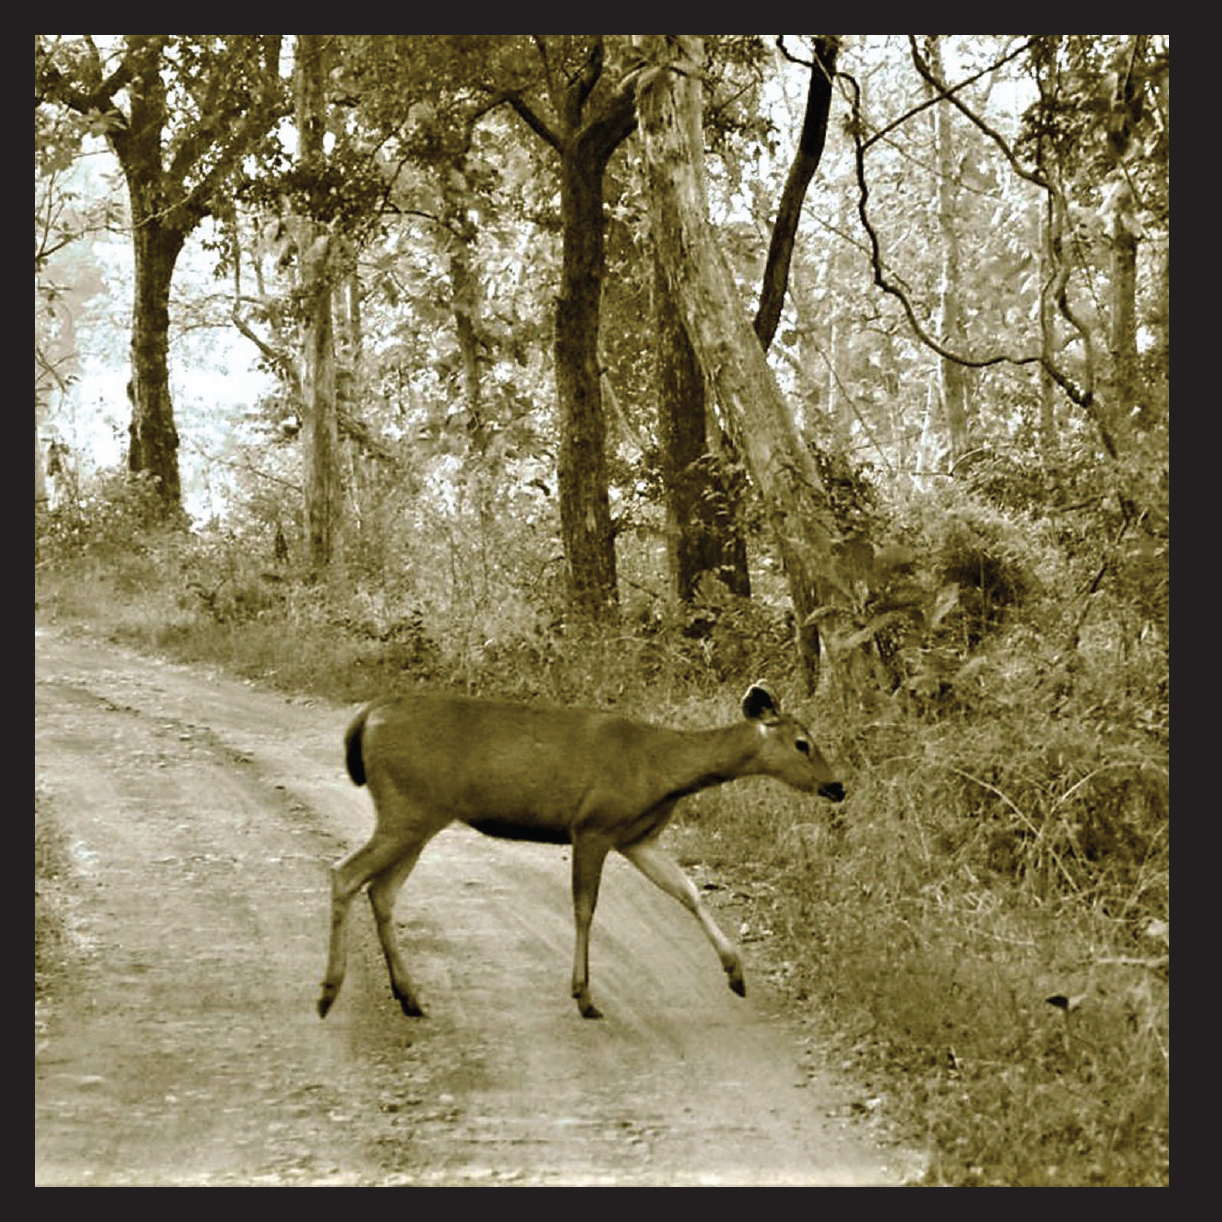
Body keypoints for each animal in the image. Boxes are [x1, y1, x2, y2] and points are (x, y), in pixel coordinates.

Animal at [320, 679, 845, 1021]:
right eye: (803, 743)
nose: (837, 786)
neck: (662, 769)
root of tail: (365, 719)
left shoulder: (636, 837)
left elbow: (689, 892)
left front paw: (735, 973)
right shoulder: (592, 825)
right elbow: (584, 909)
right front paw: (584, 996)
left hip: (418, 814)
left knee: (381, 891)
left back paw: (408, 997)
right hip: (408, 807)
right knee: (345, 873)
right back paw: (328, 993)